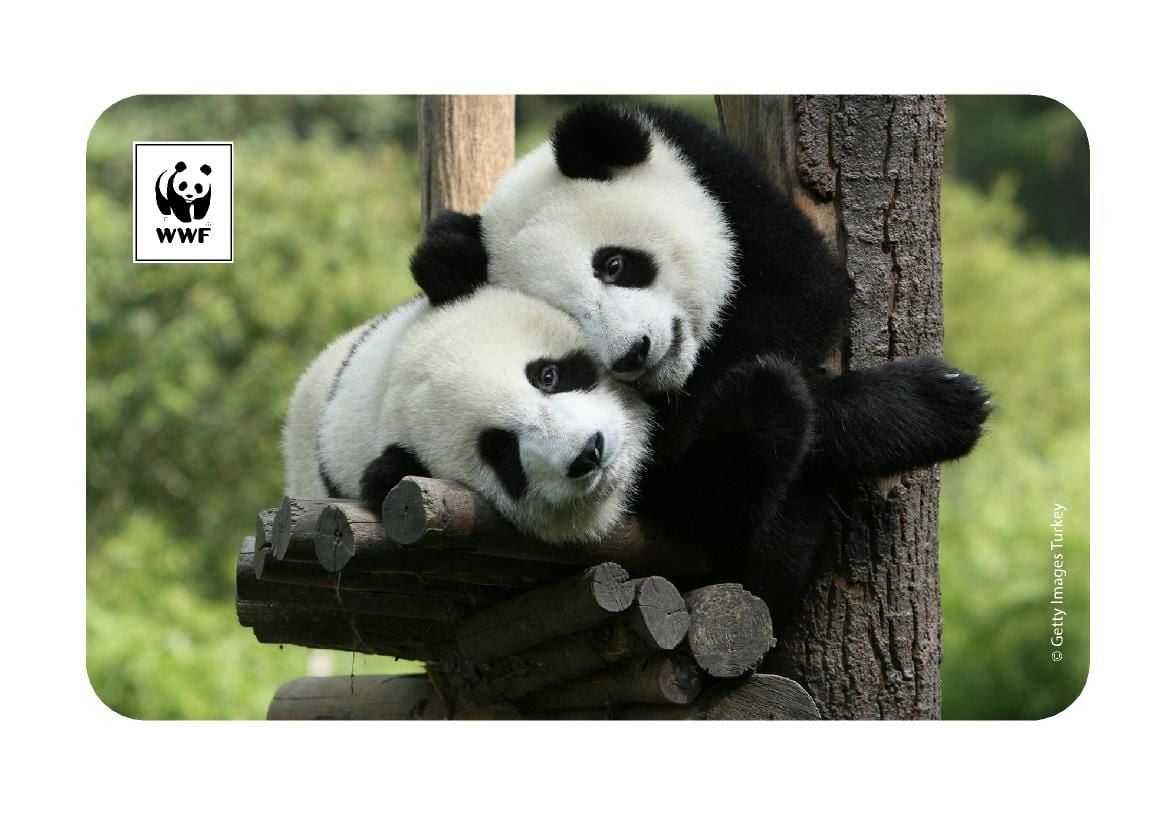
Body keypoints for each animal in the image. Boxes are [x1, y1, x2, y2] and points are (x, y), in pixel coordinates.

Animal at [410, 102, 991, 609]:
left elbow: (804, 295)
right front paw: (936, 405)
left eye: (614, 264)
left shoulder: (727, 189)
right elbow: (681, 470)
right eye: (568, 317)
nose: (634, 353)